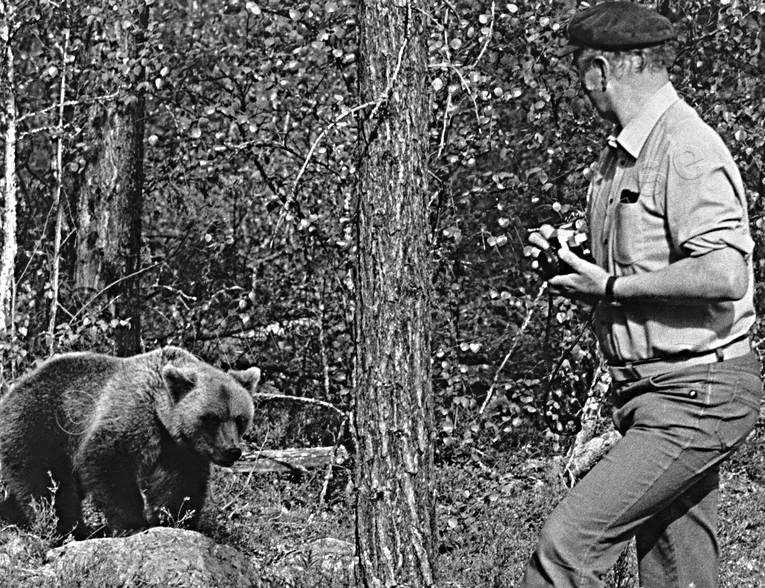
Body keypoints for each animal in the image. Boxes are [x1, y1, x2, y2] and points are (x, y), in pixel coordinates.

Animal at [0, 346, 260, 540]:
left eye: (240, 418)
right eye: (212, 418)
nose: (232, 450)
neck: (161, 413)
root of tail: (10, 392)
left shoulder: (179, 449)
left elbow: (180, 484)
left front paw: (174, 519)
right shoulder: (130, 415)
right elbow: (109, 463)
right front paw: (134, 523)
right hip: (40, 423)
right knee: (48, 483)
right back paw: (67, 529)